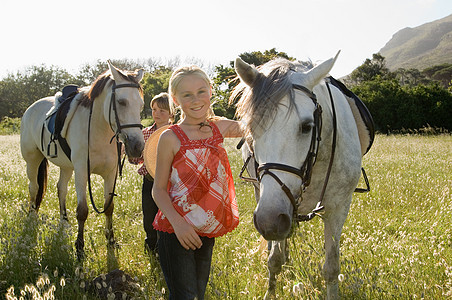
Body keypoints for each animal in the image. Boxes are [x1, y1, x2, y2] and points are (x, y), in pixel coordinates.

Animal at [20, 62, 145, 258]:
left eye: (141, 105)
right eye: (121, 102)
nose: (137, 146)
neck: (98, 128)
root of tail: (30, 109)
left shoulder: (110, 174)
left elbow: (109, 207)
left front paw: (111, 240)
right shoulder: (81, 172)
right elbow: (82, 211)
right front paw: (79, 248)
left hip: (66, 167)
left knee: (61, 189)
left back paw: (64, 222)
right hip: (32, 161)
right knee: (34, 188)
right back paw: (32, 218)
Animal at [231, 52, 372, 298]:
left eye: (307, 126)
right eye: (251, 129)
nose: (269, 222)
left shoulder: (338, 208)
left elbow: (331, 267)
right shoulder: (275, 204)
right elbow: (274, 260)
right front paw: (270, 292)